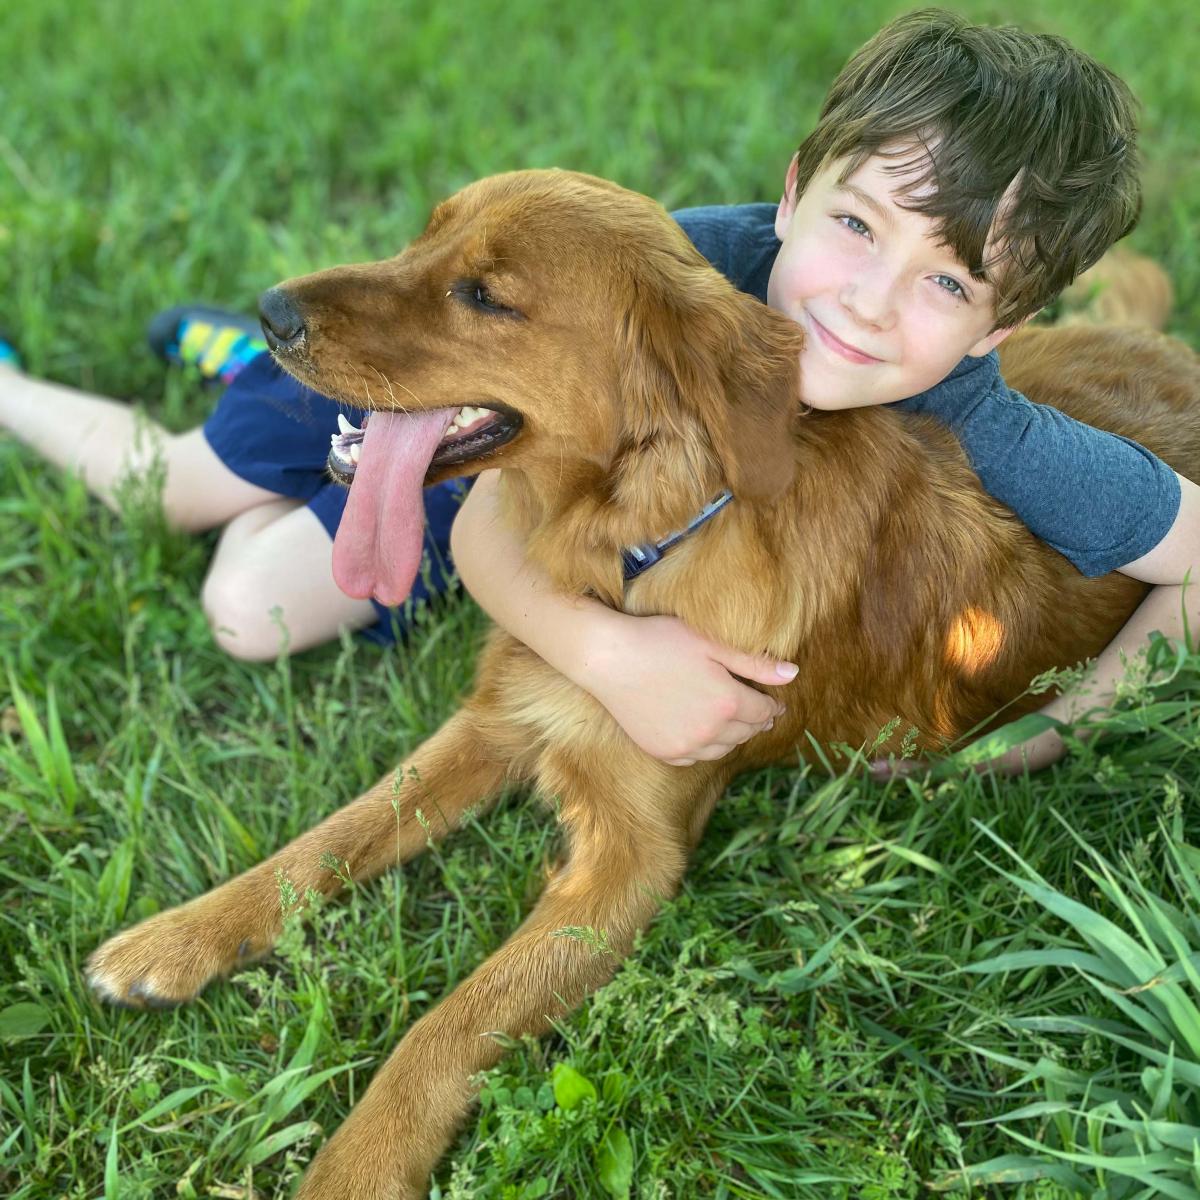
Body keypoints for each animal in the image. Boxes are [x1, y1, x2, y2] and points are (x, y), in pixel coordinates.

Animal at [87, 171, 1200, 1200]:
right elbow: (325, 840)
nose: (270, 310)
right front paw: (178, 937)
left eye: (484, 295)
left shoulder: (628, 865)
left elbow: (446, 1025)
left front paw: (356, 1168)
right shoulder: (498, 721)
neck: (632, 546)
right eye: (425, 234)